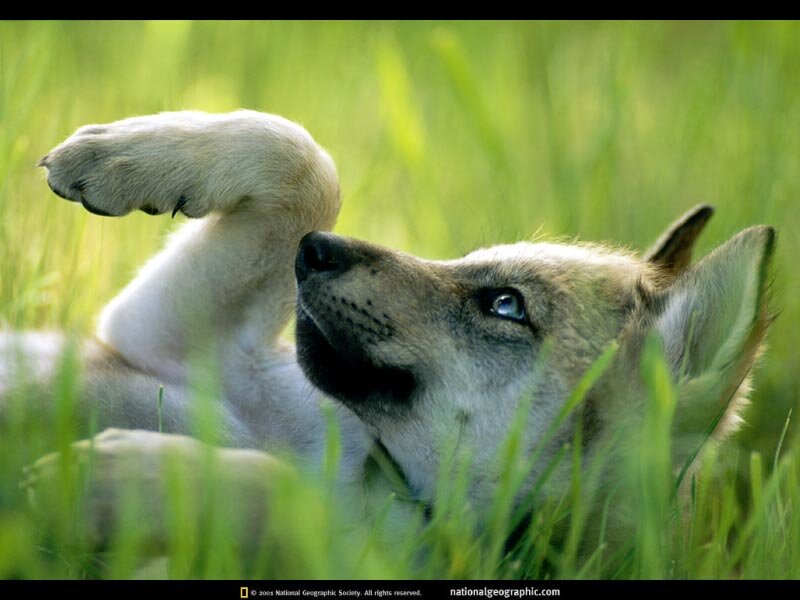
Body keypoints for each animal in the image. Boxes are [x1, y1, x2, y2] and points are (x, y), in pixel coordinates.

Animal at [1, 111, 775, 556]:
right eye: (470, 262)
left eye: (506, 306)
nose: (313, 251)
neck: (376, 470)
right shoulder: (162, 337)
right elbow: (302, 155)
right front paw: (114, 156)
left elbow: (290, 502)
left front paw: (128, 481)